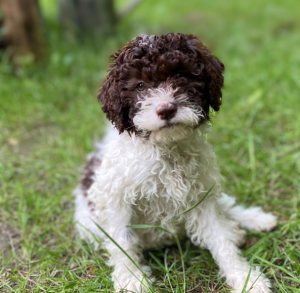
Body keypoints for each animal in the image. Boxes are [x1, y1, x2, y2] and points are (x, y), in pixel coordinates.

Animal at [74, 33, 276, 290]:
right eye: (140, 86)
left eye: (181, 75)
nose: (166, 109)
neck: (166, 150)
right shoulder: (115, 199)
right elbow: (123, 240)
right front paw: (131, 278)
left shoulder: (201, 194)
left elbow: (220, 239)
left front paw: (244, 278)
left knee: (226, 206)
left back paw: (253, 221)